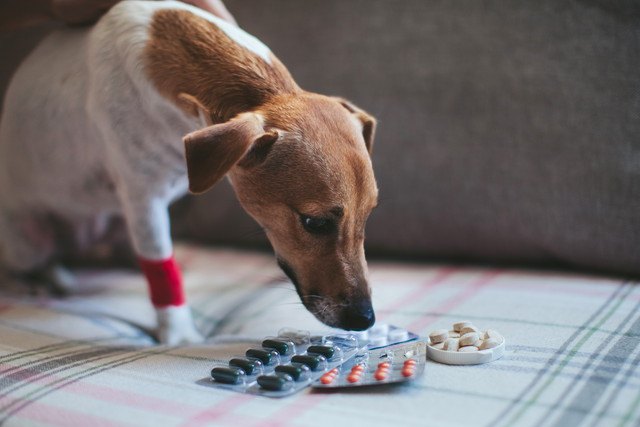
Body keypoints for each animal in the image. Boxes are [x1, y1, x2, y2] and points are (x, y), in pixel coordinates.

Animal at [0, 0, 378, 346]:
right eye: (314, 222)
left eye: (368, 215)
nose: (366, 320)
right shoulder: (144, 201)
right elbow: (160, 268)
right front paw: (179, 334)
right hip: (28, 240)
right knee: (29, 262)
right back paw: (37, 280)